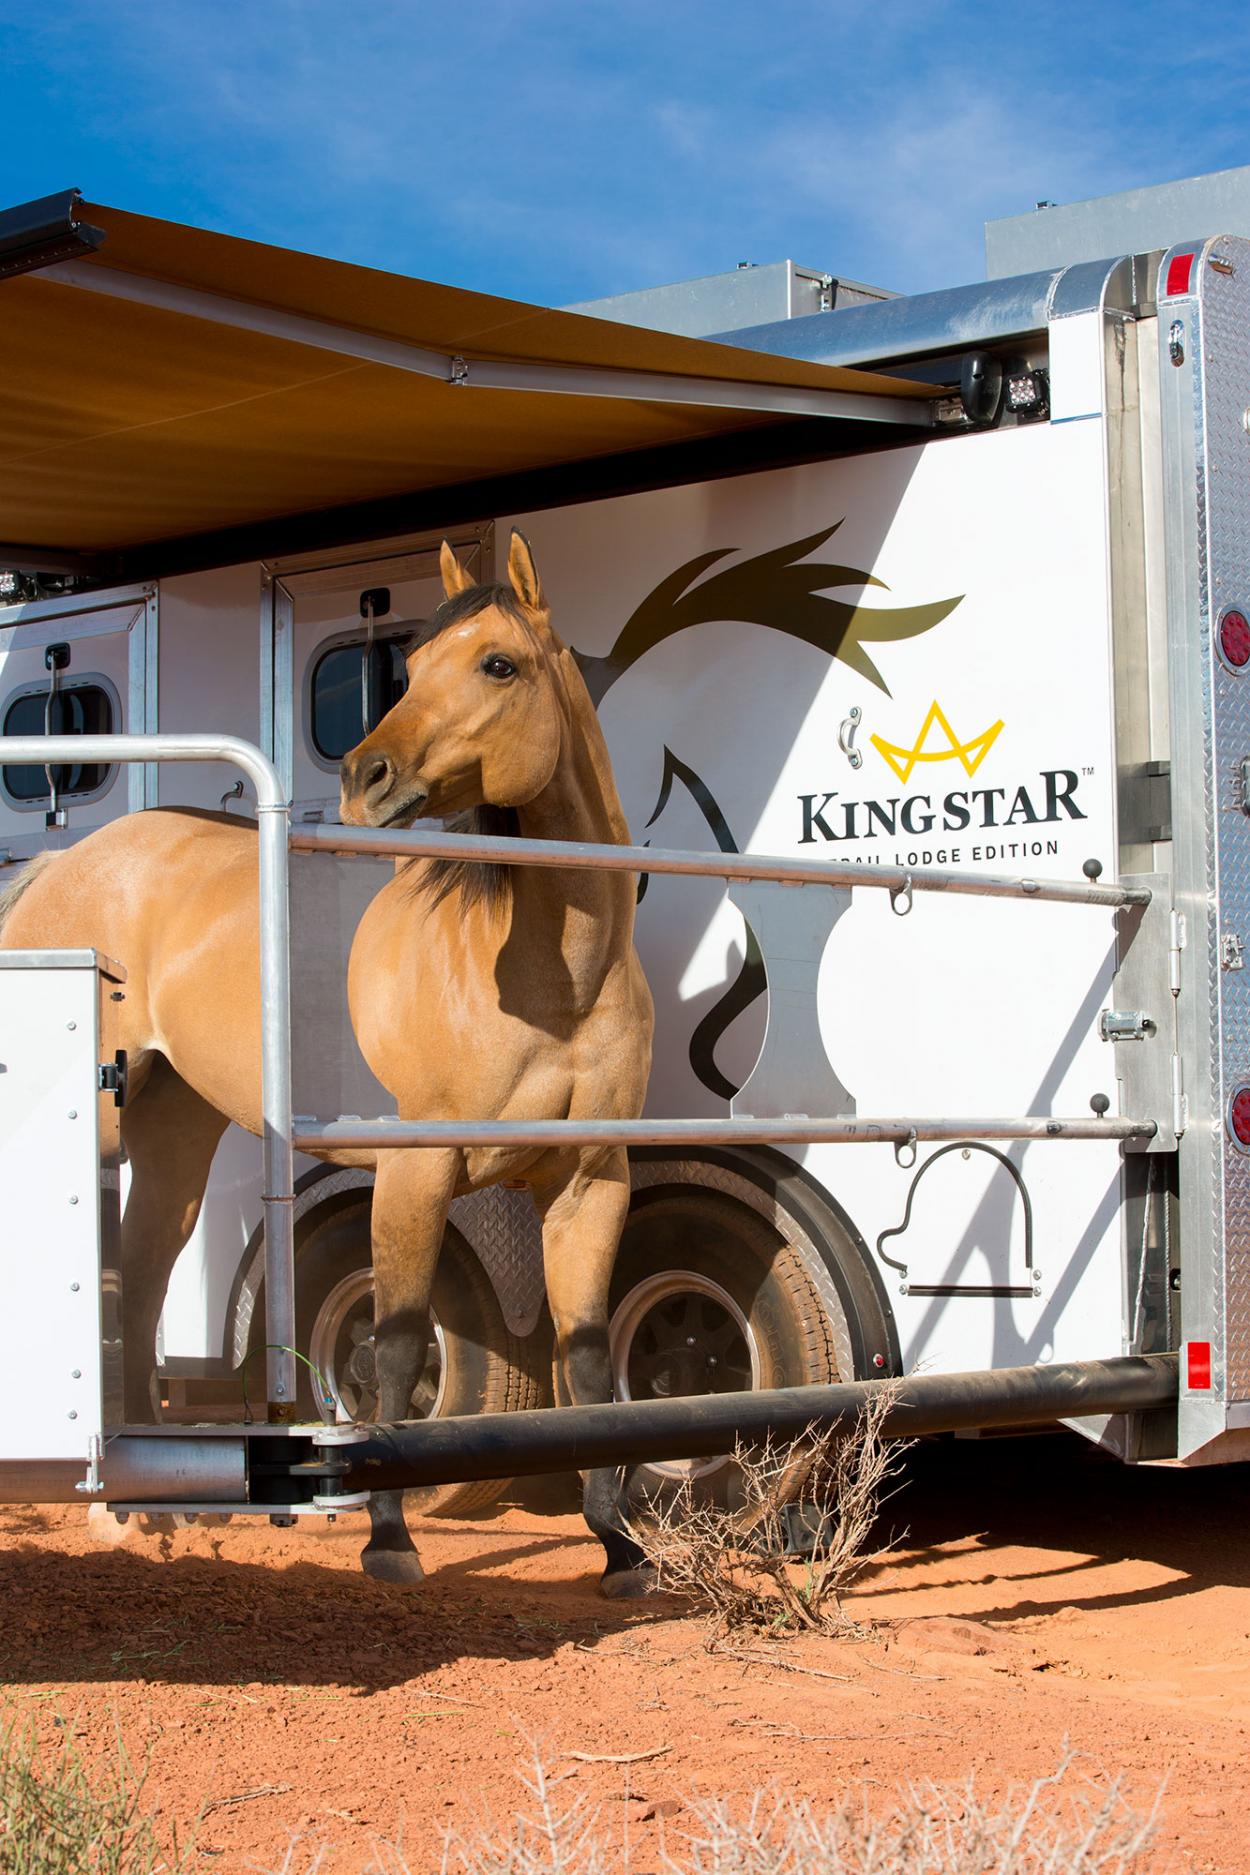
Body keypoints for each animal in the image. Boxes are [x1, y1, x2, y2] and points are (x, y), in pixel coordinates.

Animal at [0, 530, 656, 1594]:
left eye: (498, 663)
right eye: (411, 664)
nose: (367, 774)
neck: (545, 979)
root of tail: (64, 864)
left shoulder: (591, 1180)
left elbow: (591, 1359)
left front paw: (620, 1546)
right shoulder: (415, 1177)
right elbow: (392, 1352)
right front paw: (388, 1539)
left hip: (175, 1133)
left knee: (141, 1275)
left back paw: (143, 1504)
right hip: (95, 1129)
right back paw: (108, 1505)